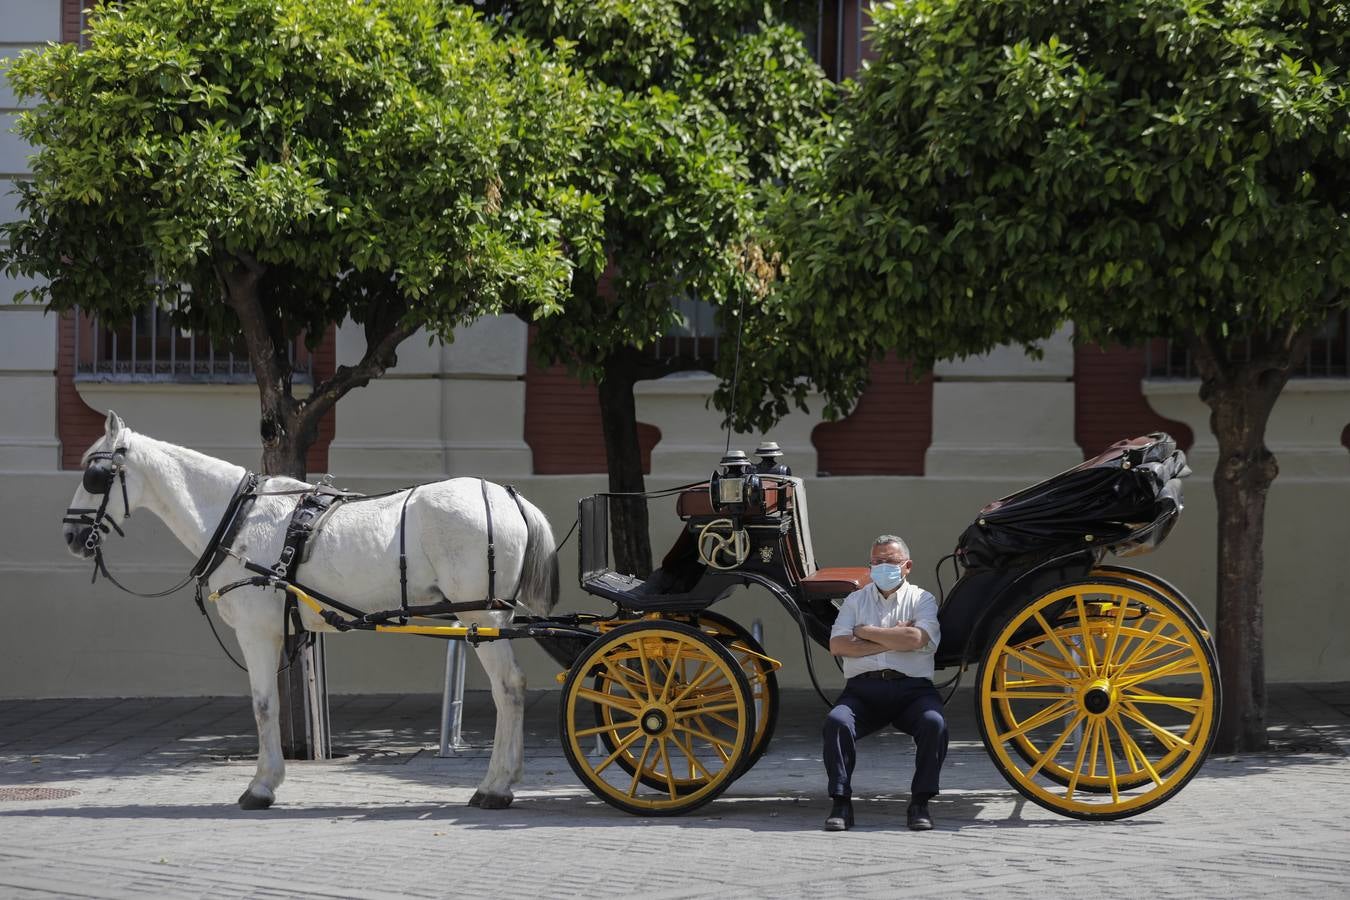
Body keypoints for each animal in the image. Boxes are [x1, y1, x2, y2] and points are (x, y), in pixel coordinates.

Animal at [62, 412, 558, 814]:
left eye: (95, 474)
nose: (70, 535)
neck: (237, 521)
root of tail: (508, 497)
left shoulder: (257, 632)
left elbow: (264, 706)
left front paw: (261, 786)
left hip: (484, 619)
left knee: (508, 689)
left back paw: (495, 786)